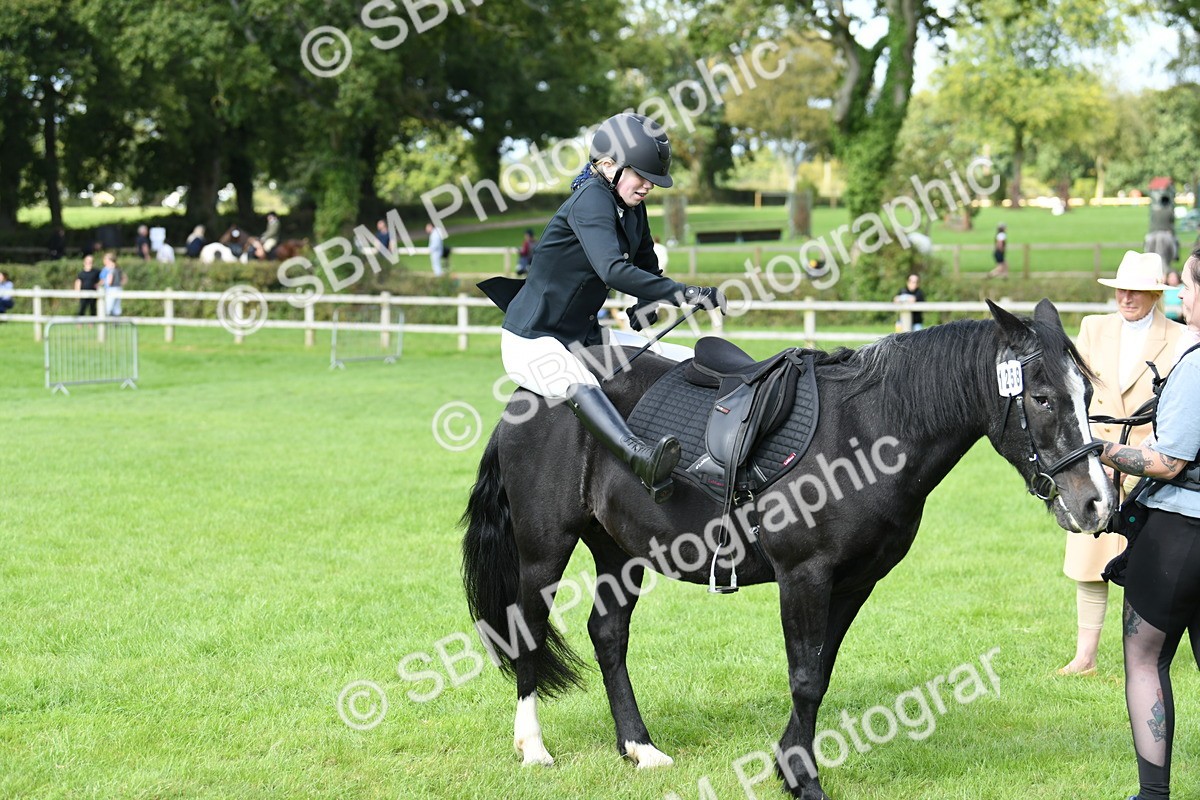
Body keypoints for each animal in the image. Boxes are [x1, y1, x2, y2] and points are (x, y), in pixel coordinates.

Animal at [461, 299, 1114, 799]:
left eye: (1086, 394)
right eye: (1043, 399)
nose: (1097, 502)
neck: (868, 430)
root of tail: (531, 393)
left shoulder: (853, 582)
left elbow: (819, 671)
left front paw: (789, 766)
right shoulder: (805, 576)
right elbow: (804, 678)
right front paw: (802, 777)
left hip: (620, 553)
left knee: (608, 634)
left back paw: (639, 748)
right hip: (545, 549)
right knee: (527, 630)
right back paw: (533, 747)